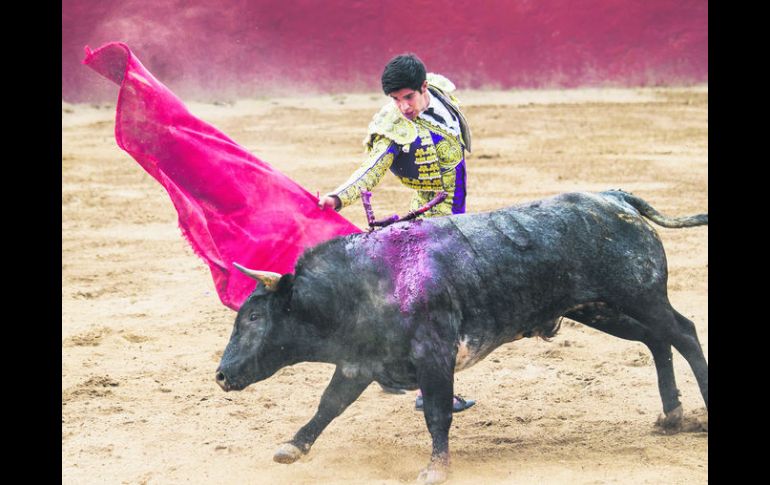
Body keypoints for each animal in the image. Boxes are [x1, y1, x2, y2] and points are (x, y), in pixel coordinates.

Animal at [213, 191, 704, 482]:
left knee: (684, 333)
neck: (364, 283)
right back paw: (672, 414)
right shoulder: (360, 363)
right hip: (599, 309)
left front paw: (435, 469)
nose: (220, 375)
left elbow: (436, 414)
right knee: (656, 341)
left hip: (639, 295)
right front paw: (292, 447)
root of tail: (614, 198)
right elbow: (328, 405)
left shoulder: (435, 355)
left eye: (253, 315)